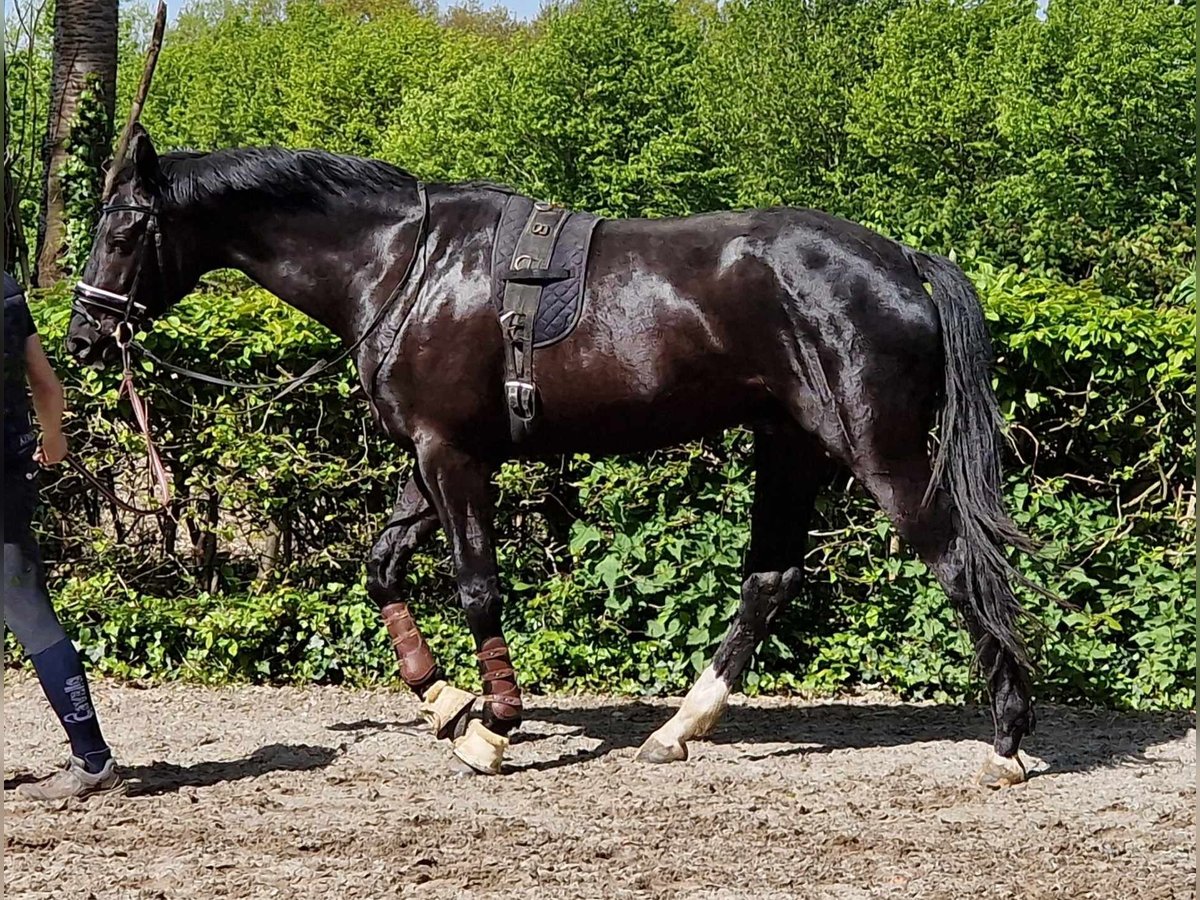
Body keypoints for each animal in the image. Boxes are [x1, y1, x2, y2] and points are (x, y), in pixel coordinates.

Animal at [70, 128, 1036, 787]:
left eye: (123, 229)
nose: (82, 332)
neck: (404, 267)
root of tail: (902, 260)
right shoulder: (426, 459)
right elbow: (382, 570)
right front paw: (443, 702)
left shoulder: (454, 457)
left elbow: (476, 587)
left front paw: (493, 722)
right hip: (789, 446)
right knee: (771, 579)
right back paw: (679, 728)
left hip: (880, 452)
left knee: (961, 563)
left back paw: (1009, 738)